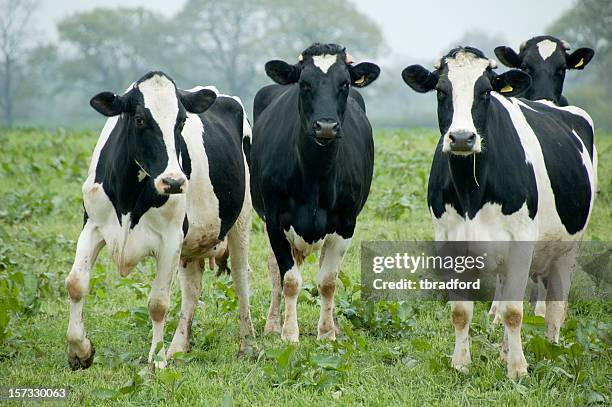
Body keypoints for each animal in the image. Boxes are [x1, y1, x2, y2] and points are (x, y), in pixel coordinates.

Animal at [66, 71, 256, 372]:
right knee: (192, 289)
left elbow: (158, 303)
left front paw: (156, 359)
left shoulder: (170, 239)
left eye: (182, 121)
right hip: (192, 244)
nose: (174, 181)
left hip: (241, 220)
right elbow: (76, 283)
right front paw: (79, 351)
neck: (129, 196)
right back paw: (178, 347)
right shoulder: (92, 225)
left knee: (241, 278)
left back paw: (247, 345)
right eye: (139, 119)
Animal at [249, 44, 378, 342]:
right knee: (274, 271)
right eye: (304, 84)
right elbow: (289, 280)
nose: (327, 126)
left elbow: (328, 281)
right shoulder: (275, 221)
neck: (316, 174)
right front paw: (288, 333)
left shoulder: (346, 223)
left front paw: (327, 333)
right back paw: (273, 324)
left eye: (344, 83)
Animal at [402, 47, 596, 380]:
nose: (462, 138)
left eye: (485, 92)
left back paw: (551, 349)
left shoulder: (521, 243)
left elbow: (514, 312)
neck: (471, 190)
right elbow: (461, 311)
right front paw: (461, 363)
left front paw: (518, 369)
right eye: (441, 91)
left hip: (568, 245)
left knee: (555, 305)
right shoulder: (450, 244)